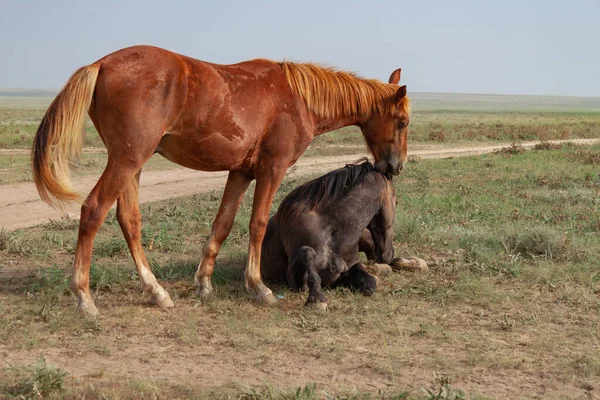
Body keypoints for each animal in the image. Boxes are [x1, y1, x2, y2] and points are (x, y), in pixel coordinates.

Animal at [262, 161, 394, 310]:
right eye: (395, 201)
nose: (388, 254)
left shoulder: (352, 265)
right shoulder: (293, 279)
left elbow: (369, 282)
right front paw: (317, 299)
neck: (331, 232)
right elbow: (307, 254)